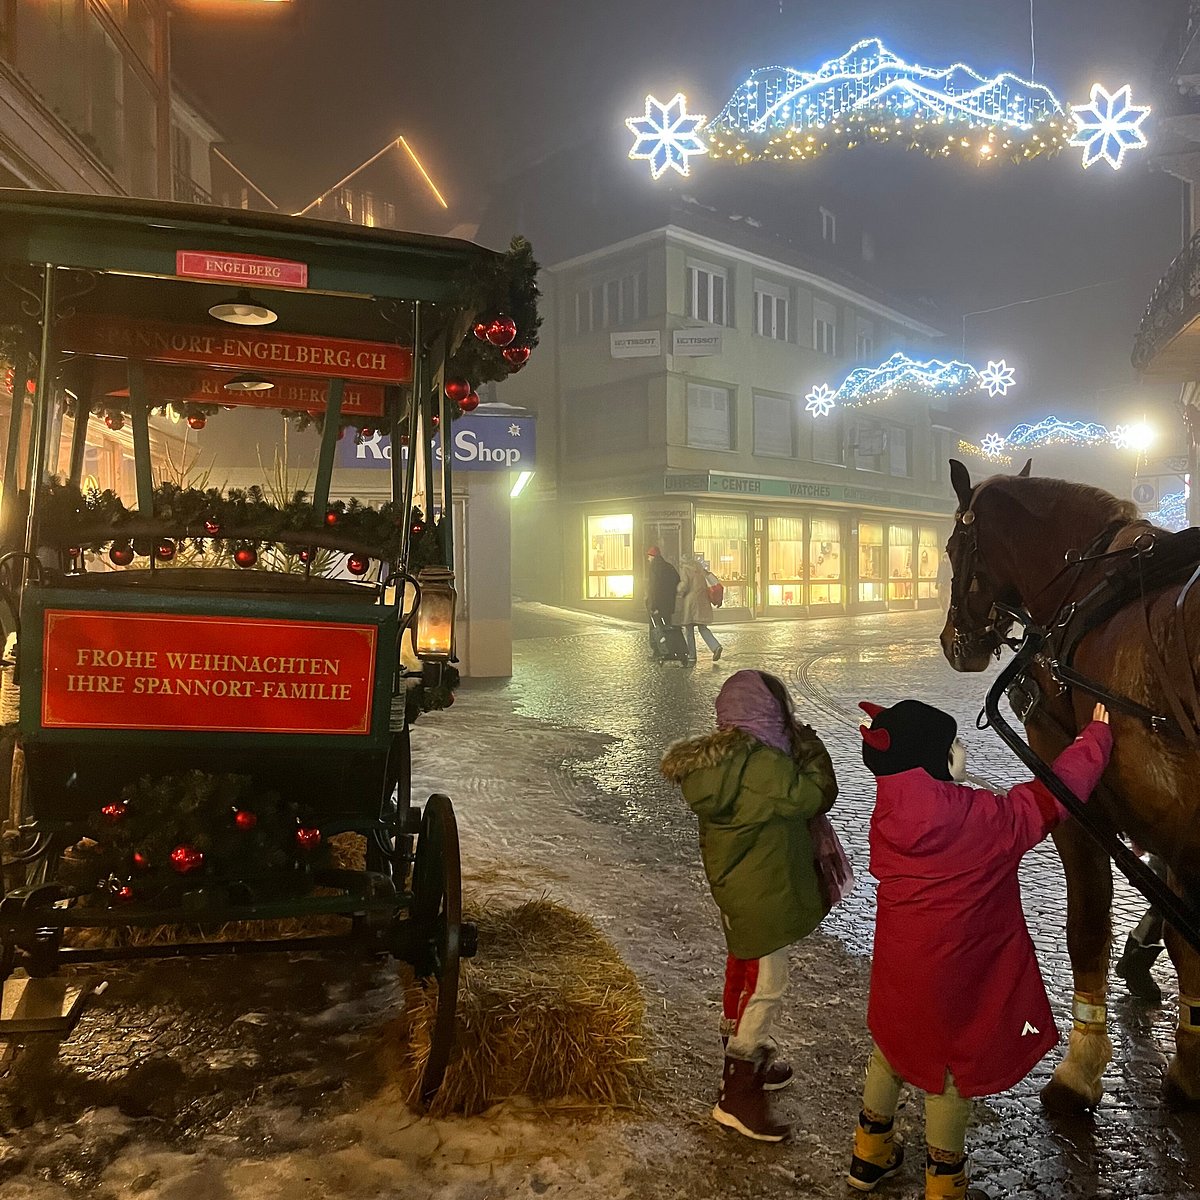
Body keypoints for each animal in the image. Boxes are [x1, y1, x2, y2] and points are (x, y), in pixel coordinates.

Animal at [940, 458, 1200, 1112]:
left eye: (954, 546)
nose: (954, 643)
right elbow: (1185, 944)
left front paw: (1079, 1067)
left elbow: (1088, 926)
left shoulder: (1080, 800)